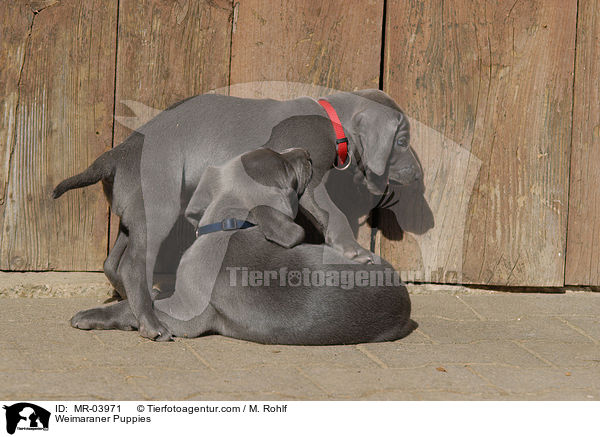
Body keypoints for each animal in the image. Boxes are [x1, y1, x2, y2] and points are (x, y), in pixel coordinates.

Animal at [71, 149, 412, 344]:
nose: (307, 153)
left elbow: (133, 309)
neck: (229, 225)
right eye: (284, 164)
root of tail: (404, 302)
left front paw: (90, 316)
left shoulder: (187, 314)